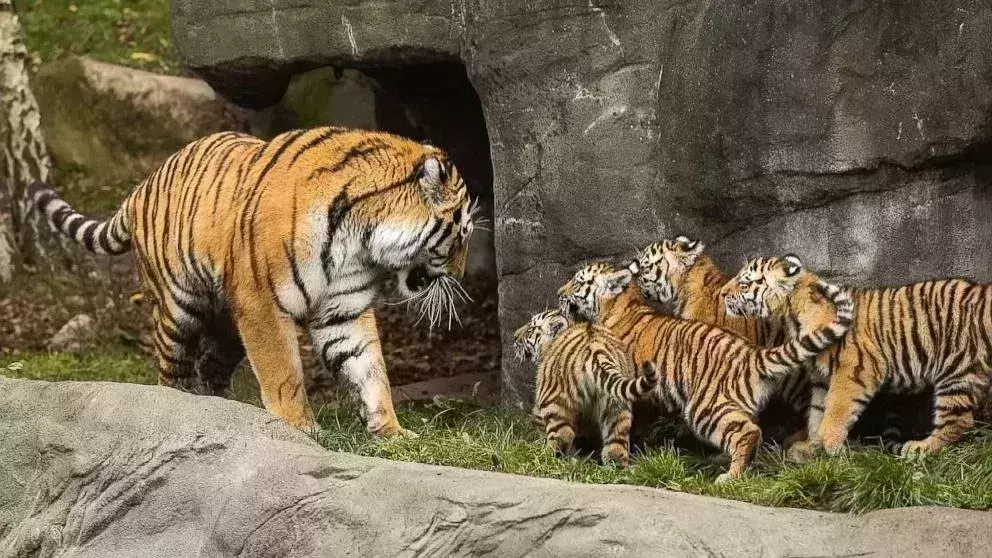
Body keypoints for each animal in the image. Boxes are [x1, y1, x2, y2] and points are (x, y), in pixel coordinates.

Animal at [28, 127, 476, 437]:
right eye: (463, 234)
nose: (461, 275)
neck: (362, 238)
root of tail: (140, 187)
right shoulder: (262, 304)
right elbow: (284, 373)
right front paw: (300, 429)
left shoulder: (343, 310)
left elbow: (369, 369)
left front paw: (392, 432)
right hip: (179, 309)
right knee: (171, 369)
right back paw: (179, 408)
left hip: (227, 326)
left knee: (210, 367)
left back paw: (227, 414)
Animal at [513, 309, 658, 467]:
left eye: (531, 329)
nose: (514, 336)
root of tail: (596, 350)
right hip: (616, 406)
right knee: (617, 442)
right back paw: (615, 467)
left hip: (554, 401)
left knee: (562, 435)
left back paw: (544, 457)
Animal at [557, 262, 852, 481]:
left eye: (578, 282)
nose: (560, 291)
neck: (620, 305)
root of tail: (751, 354)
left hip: (707, 407)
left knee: (750, 432)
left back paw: (731, 476)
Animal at [722, 255, 992, 458]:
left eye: (744, 283)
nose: (723, 293)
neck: (791, 315)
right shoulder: (821, 378)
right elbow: (817, 412)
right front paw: (811, 447)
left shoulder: (853, 371)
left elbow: (836, 411)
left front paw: (830, 446)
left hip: (956, 370)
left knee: (958, 422)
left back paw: (920, 448)